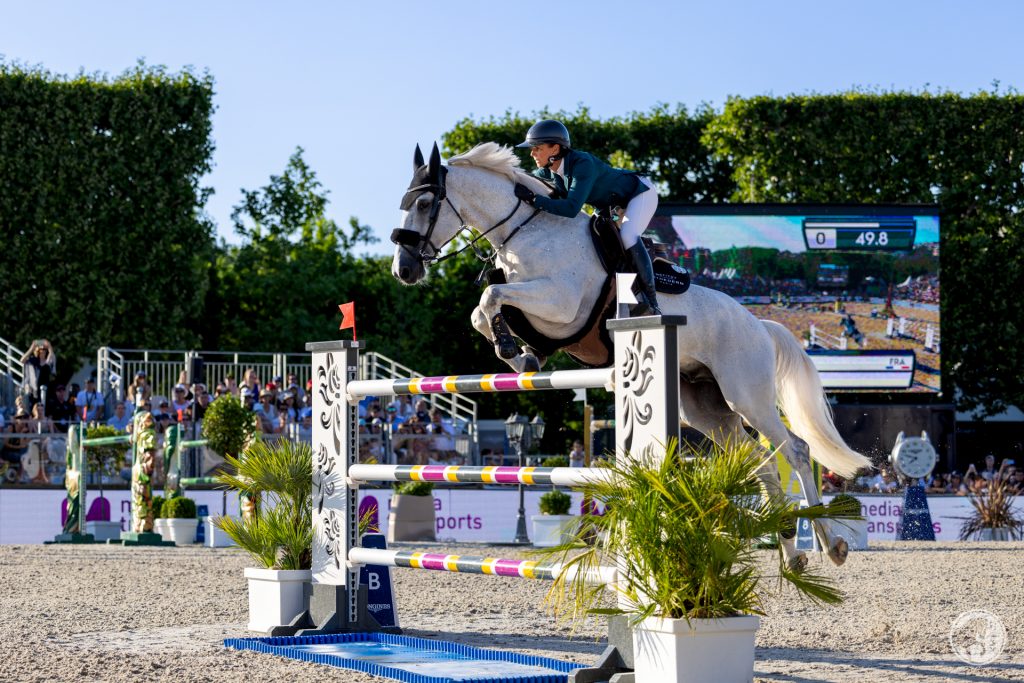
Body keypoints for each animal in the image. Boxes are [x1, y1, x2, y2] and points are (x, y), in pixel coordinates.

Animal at [387, 141, 868, 569]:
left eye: (426, 203)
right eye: (404, 203)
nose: (403, 271)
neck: (527, 231)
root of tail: (759, 325)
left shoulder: (560, 304)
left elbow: (490, 296)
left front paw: (512, 349)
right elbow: (482, 310)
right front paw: (520, 355)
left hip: (745, 394)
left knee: (797, 452)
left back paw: (830, 546)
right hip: (704, 408)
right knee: (760, 464)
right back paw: (790, 551)